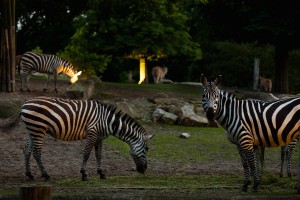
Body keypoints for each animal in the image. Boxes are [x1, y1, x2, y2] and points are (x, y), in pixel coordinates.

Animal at [13, 96, 152, 181]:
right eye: (147, 149)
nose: (144, 170)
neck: (109, 121)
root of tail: (24, 104)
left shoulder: (100, 137)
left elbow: (98, 155)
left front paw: (101, 173)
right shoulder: (92, 133)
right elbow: (87, 153)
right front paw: (84, 174)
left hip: (32, 130)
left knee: (27, 150)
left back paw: (30, 174)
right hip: (38, 129)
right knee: (37, 152)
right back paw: (46, 175)